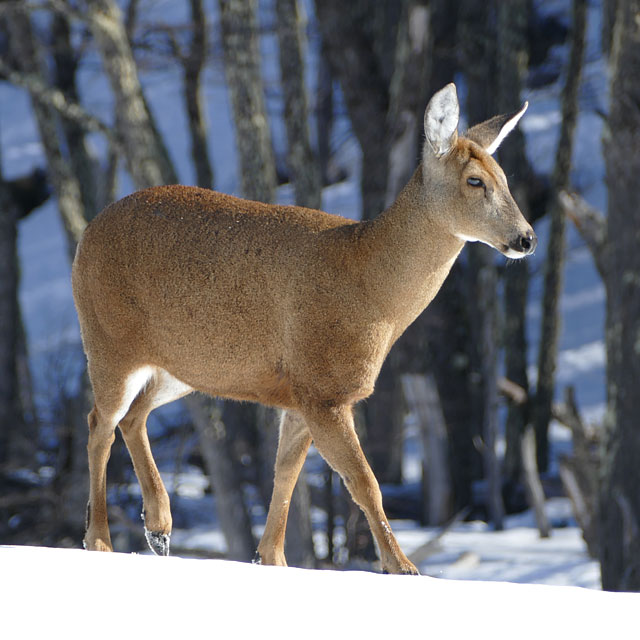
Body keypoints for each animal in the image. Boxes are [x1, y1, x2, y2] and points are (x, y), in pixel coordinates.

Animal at [71, 84, 536, 576]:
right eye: (475, 181)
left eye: (505, 178)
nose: (526, 238)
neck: (373, 289)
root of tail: (86, 234)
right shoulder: (324, 388)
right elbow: (364, 482)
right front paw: (402, 567)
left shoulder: (298, 396)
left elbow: (286, 477)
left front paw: (272, 559)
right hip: (108, 341)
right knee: (100, 423)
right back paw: (98, 539)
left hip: (181, 366)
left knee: (133, 416)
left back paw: (158, 527)